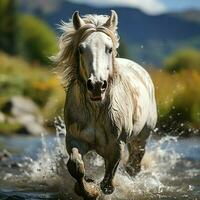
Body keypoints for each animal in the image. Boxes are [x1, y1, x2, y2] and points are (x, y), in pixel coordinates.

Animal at [52, 10, 157, 200]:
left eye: (109, 49)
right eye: (81, 49)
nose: (96, 85)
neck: (97, 110)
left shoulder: (116, 146)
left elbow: (107, 183)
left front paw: (98, 189)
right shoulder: (75, 140)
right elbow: (76, 166)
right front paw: (88, 189)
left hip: (141, 138)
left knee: (133, 166)